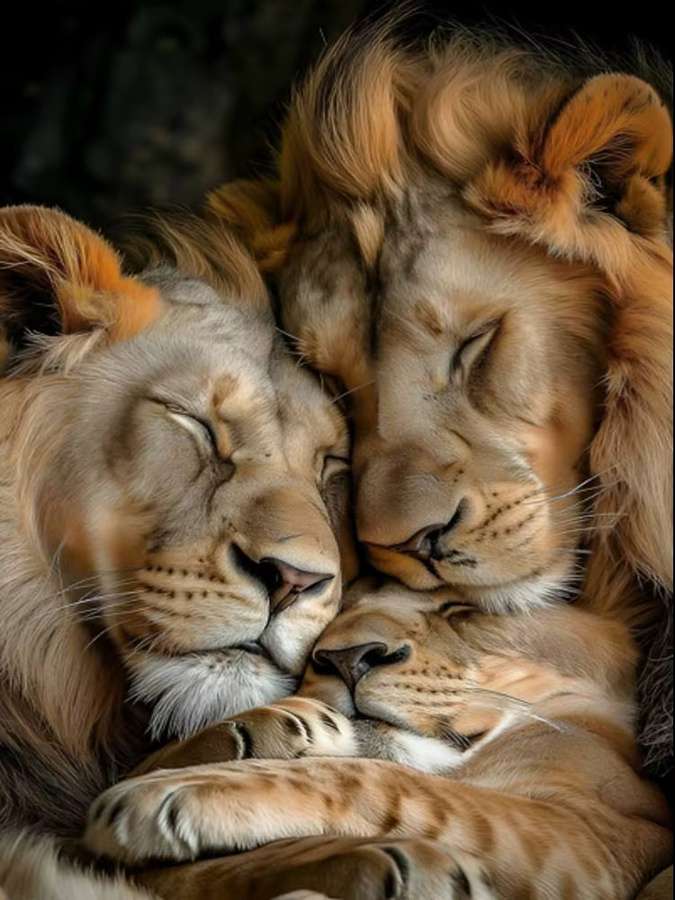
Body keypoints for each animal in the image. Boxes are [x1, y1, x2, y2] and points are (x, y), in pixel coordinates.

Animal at [85, 578, 672, 899]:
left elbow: (389, 780)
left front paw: (171, 795)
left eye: (463, 609)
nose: (345, 658)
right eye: (338, 610)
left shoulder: (608, 836)